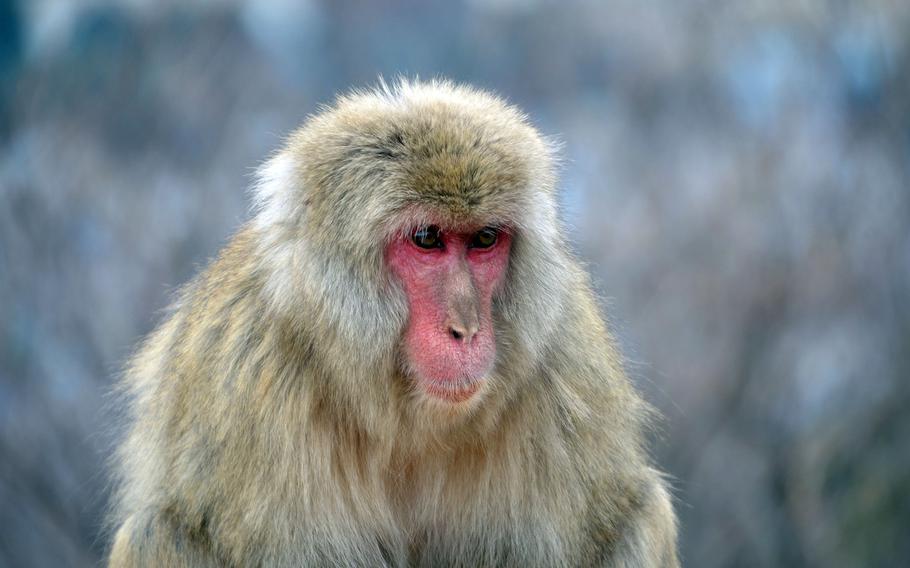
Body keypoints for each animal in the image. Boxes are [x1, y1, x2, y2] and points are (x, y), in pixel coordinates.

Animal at [108, 80, 676, 568]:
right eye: (427, 239)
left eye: (484, 239)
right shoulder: (250, 385)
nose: (466, 329)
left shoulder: (566, 366)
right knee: (157, 534)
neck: (404, 416)